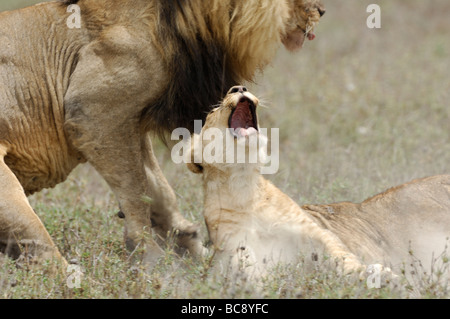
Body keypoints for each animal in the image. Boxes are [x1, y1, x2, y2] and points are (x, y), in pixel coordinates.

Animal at [0, 0, 324, 268]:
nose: (321, 11)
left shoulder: (129, 120)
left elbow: (157, 189)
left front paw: (191, 247)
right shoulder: (93, 111)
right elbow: (136, 193)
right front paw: (152, 260)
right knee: (37, 244)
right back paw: (74, 276)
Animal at [187, 86, 450, 278]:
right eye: (213, 110)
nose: (239, 87)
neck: (243, 186)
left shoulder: (314, 232)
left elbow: (340, 256)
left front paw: (377, 275)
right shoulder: (234, 248)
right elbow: (245, 267)